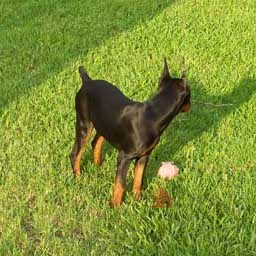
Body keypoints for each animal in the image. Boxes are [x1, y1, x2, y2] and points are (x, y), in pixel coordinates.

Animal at [69, 58, 190, 206]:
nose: (190, 107)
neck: (153, 114)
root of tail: (87, 81)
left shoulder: (144, 155)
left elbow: (138, 179)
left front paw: (138, 200)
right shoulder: (124, 157)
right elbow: (120, 184)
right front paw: (115, 206)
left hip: (104, 123)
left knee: (95, 142)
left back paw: (97, 165)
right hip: (84, 124)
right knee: (75, 154)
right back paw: (78, 178)